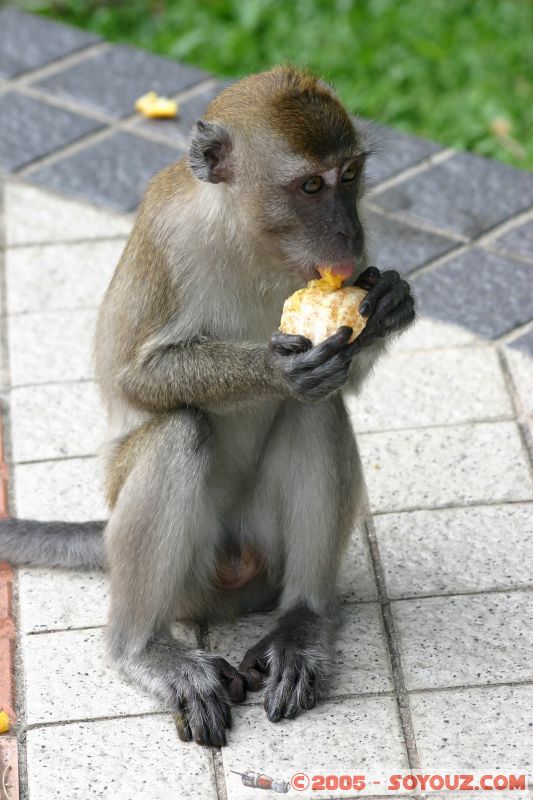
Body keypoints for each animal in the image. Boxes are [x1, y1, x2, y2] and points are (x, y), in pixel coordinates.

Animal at [0, 66, 415, 747]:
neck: (250, 241)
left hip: (264, 553)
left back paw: (302, 623)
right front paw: (275, 370)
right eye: (310, 185)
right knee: (182, 429)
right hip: (191, 573)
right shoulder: (167, 237)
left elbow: (340, 379)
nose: (348, 234)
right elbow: (134, 379)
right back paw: (144, 649)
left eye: (350, 176)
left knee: (317, 409)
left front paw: (389, 306)